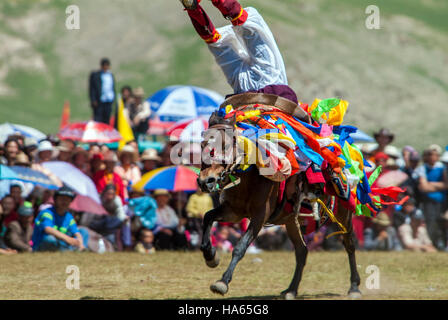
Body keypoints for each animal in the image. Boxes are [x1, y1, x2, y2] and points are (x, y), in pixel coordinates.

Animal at [198, 96, 362, 298]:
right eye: (202, 145)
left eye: (226, 145)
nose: (205, 181)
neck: (249, 176)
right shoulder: (233, 211)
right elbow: (208, 217)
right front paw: (211, 256)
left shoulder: (260, 216)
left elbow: (240, 247)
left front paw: (222, 282)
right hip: (291, 220)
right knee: (302, 251)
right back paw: (291, 290)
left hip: (343, 214)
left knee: (349, 244)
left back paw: (354, 287)